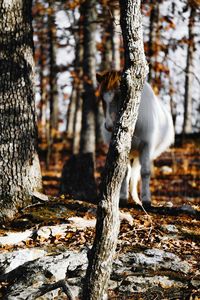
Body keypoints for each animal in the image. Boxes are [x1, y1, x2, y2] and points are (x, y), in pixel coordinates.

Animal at [96, 71, 173, 205]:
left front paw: (146, 199)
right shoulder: (125, 148)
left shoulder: (147, 146)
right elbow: (124, 173)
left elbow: (145, 172)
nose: (109, 126)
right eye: (101, 97)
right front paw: (123, 198)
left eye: (119, 96)